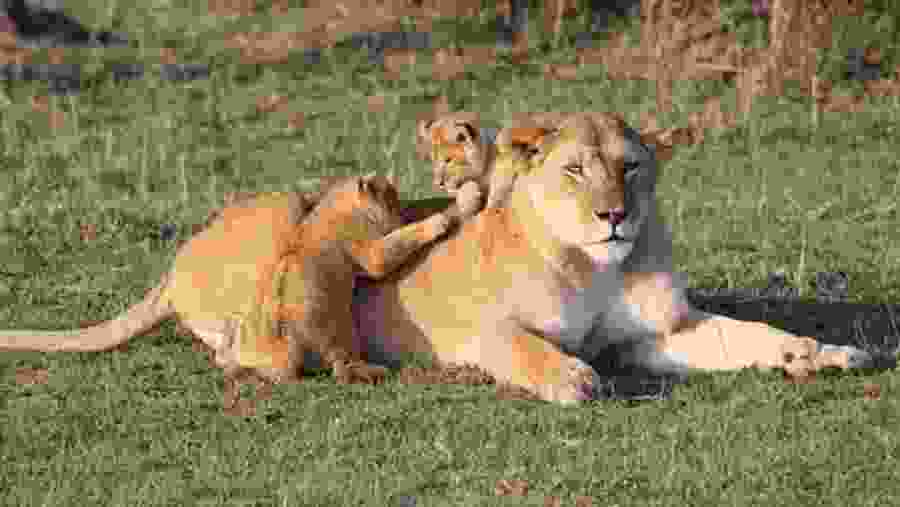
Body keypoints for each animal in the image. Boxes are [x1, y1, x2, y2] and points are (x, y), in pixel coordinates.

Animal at [0, 174, 482, 393]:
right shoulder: (368, 250)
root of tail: (169, 277)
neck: (326, 213)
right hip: (281, 218)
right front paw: (457, 207)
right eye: (391, 194)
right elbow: (399, 241)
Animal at [352, 112, 894, 403]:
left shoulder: (647, 337)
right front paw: (571, 377)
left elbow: (747, 334)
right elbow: (519, 344)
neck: (596, 268)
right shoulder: (475, 327)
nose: (613, 214)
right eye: (574, 169)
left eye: (629, 167)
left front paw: (815, 353)